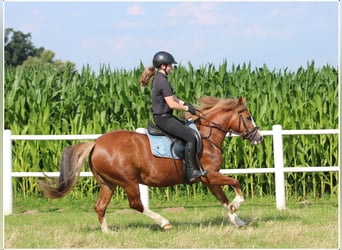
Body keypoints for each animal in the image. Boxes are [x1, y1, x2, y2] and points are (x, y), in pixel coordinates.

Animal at [40, 96, 264, 232]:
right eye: (247, 117)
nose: (259, 138)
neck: (207, 137)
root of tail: (96, 143)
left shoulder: (208, 179)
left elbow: (223, 199)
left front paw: (238, 220)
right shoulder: (209, 175)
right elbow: (236, 184)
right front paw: (237, 205)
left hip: (107, 184)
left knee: (100, 207)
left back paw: (108, 232)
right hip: (128, 181)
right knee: (136, 205)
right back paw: (164, 222)